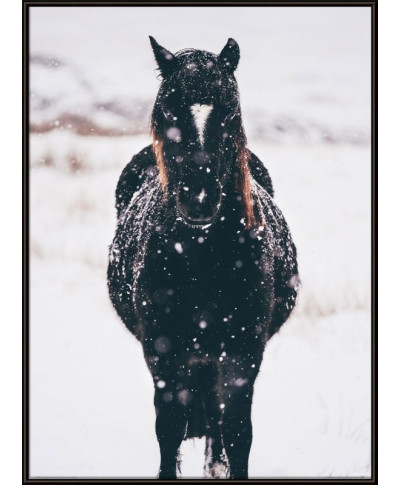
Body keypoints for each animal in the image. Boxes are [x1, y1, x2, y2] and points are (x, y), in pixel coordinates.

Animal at [108, 36, 298, 478]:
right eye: (167, 109)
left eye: (229, 110)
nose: (198, 199)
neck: (203, 258)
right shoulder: (163, 352)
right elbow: (169, 426)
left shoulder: (243, 351)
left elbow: (238, 429)